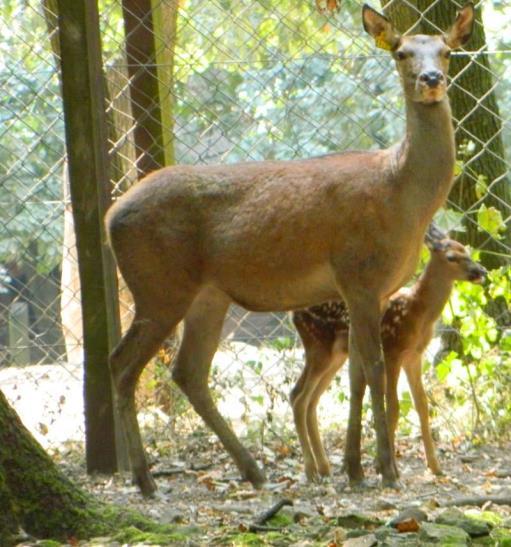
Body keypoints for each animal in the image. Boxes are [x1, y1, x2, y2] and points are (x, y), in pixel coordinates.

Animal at [294, 233, 486, 482]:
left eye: (468, 251)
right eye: (452, 257)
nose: (481, 271)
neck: (418, 312)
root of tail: (294, 313)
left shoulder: (414, 356)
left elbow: (422, 405)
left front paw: (435, 466)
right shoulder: (393, 350)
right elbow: (393, 407)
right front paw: (385, 467)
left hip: (335, 355)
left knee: (309, 399)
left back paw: (324, 467)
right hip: (319, 347)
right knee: (299, 397)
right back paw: (311, 471)